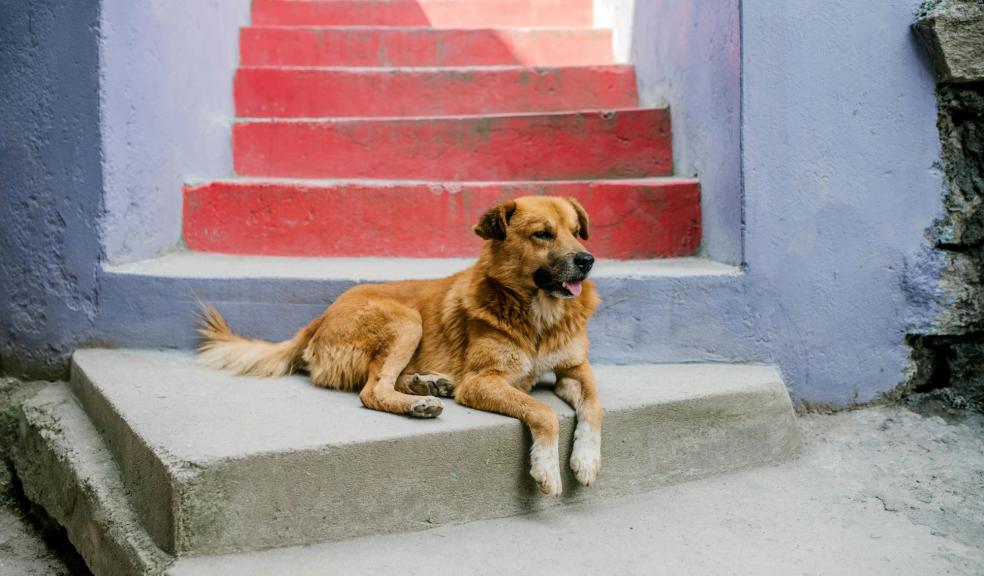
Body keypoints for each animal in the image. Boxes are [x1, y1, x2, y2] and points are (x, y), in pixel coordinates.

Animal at [197, 197, 604, 496]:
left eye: (576, 232)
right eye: (542, 234)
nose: (587, 260)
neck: (540, 315)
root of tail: (320, 317)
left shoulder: (575, 369)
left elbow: (594, 408)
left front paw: (586, 460)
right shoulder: (482, 381)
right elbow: (542, 411)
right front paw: (546, 468)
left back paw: (429, 385)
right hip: (406, 319)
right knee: (371, 390)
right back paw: (417, 403)